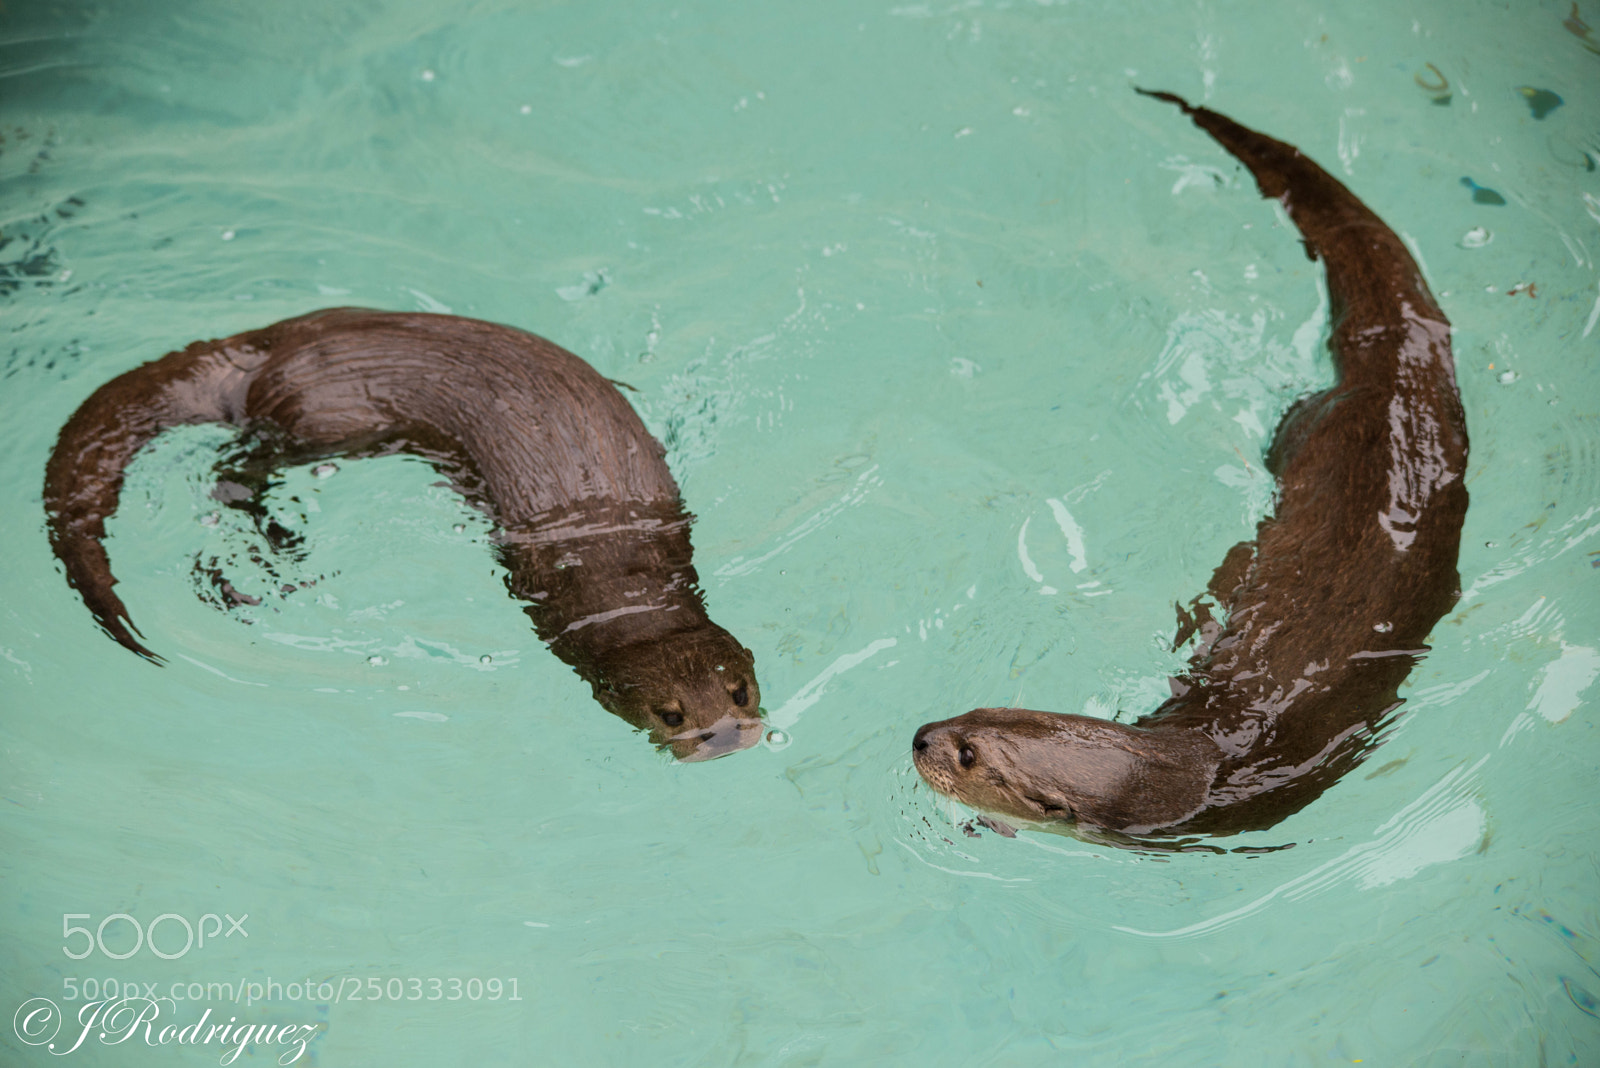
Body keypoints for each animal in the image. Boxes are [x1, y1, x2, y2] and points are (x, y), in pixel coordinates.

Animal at [44, 308, 761, 761]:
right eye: (671, 714)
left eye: (740, 692)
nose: (726, 737)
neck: (618, 570)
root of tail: (267, 346)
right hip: (317, 414)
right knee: (236, 464)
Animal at [913, 91, 1469, 838]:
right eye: (978, 709)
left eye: (969, 753)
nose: (920, 736)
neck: (1188, 766)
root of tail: (1403, 374)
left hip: (1306, 426)